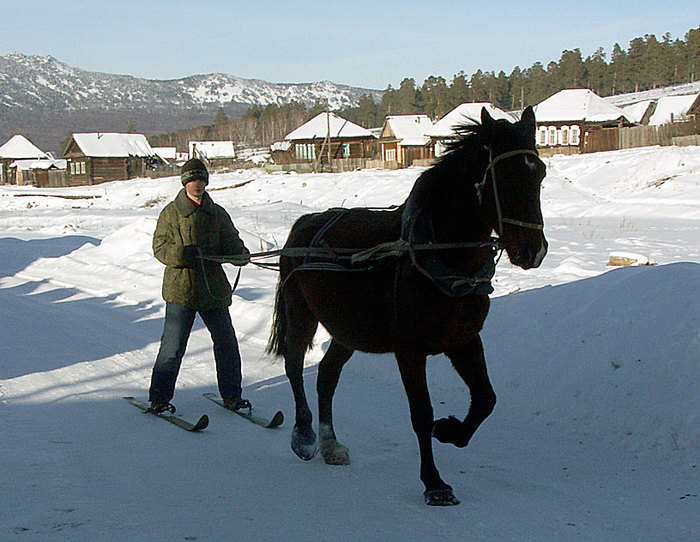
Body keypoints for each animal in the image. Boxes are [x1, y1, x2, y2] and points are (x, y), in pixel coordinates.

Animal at [266, 107, 548, 510]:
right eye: (503, 175)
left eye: (539, 173)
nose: (533, 251)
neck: (439, 255)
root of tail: (302, 227)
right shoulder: (410, 350)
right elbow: (421, 413)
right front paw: (434, 482)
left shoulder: (464, 340)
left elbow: (486, 399)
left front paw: (450, 431)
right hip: (302, 314)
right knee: (293, 366)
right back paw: (304, 435)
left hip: (348, 330)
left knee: (327, 376)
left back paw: (330, 443)